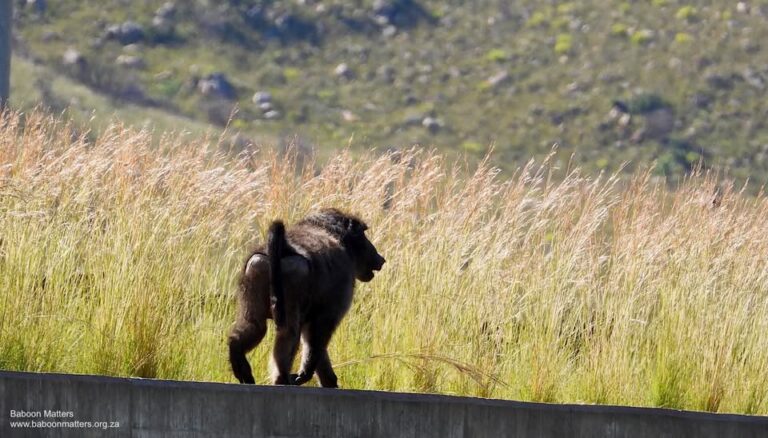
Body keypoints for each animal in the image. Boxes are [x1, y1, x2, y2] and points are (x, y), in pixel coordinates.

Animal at [228, 208, 386, 387]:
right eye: (363, 234)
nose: (380, 259)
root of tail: (286, 247)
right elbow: (319, 333)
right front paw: (306, 374)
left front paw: (328, 380)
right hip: (295, 274)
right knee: (289, 333)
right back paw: (282, 379)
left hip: (256, 269)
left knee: (256, 325)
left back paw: (239, 361)